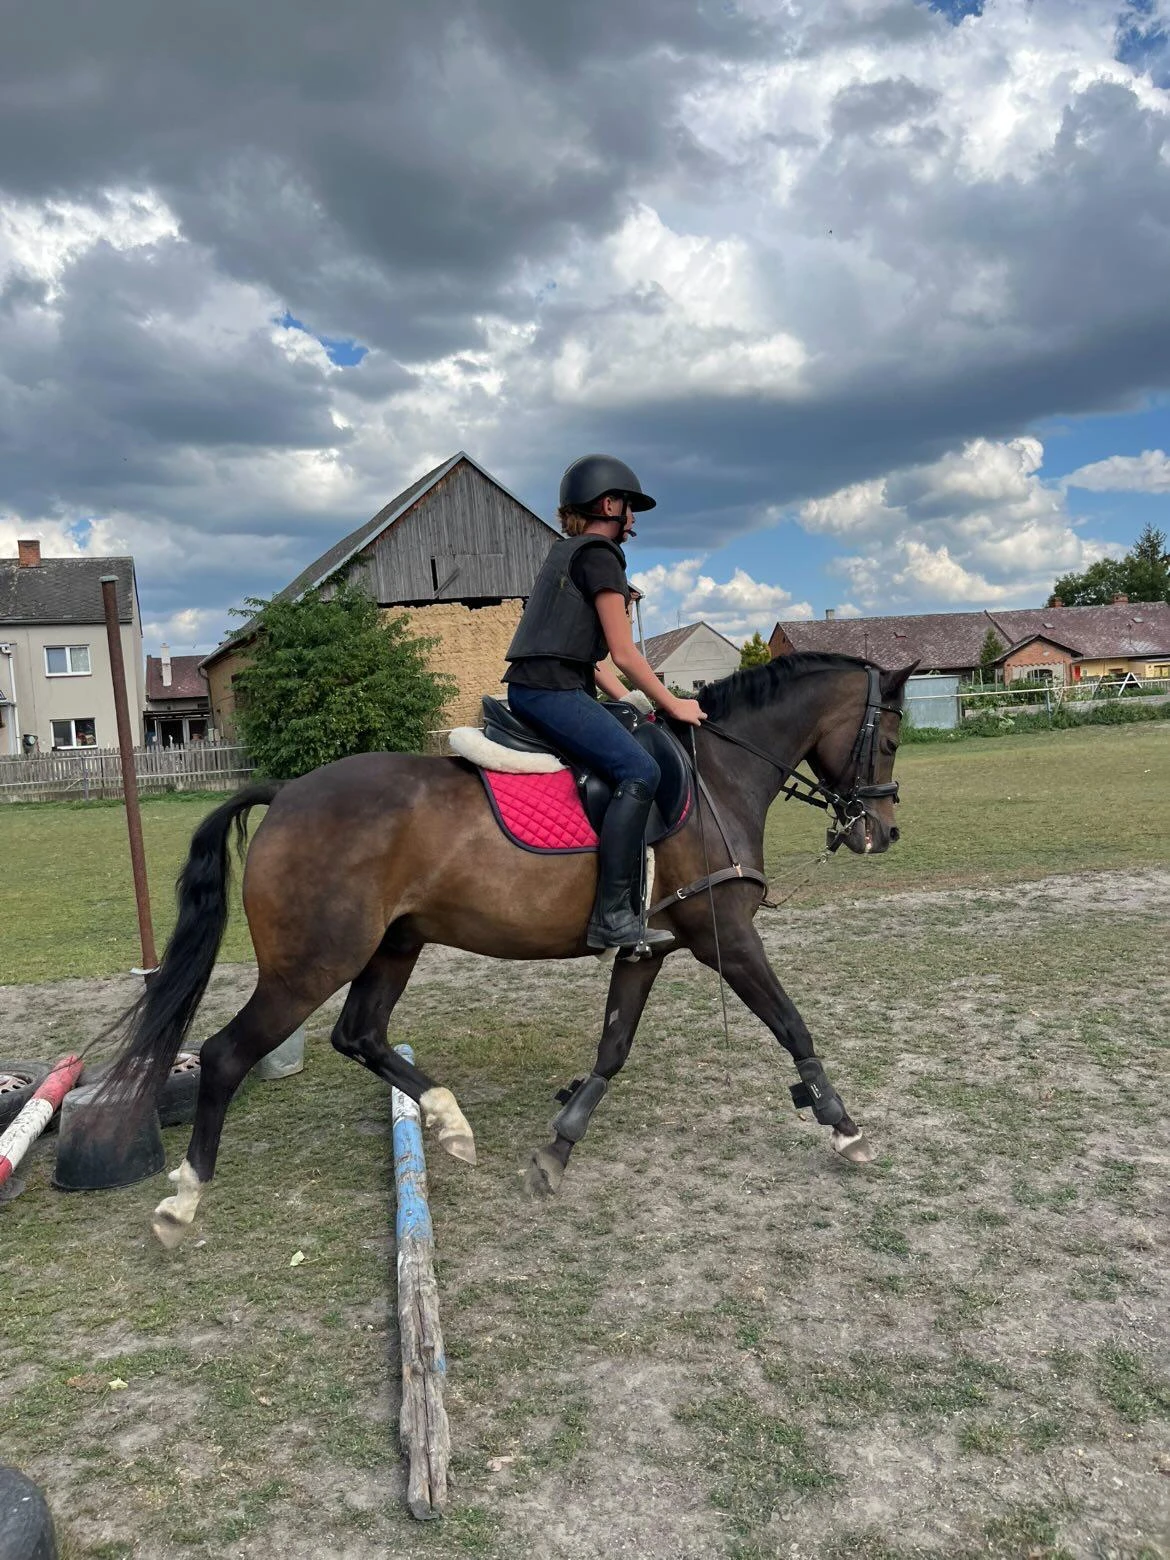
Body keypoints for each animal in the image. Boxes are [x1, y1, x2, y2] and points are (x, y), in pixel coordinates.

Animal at [94, 652, 913, 1247]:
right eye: (890, 739)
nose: (880, 833)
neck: (715, 774)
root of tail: (286, 792)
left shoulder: (647, 950)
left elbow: (612, 1048)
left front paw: (557, 1150)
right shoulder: (727, 938)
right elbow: (792, 1024)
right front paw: (844, 1127)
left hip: (393, 947)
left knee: (360, 1034)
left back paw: (448, 1121)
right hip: (311, 965)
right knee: (228, 1054)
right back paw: (184, 1201)